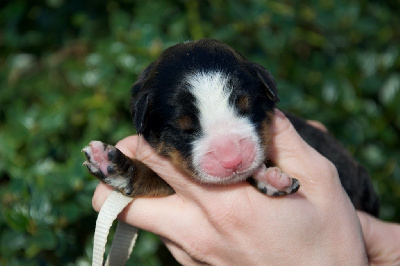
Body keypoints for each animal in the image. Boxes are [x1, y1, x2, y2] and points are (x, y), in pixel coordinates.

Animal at [82, 39, 378, 216]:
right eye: (184, 128)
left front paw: (270, 179)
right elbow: (155, 177)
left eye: (246, 107)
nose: (232, 160)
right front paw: (116, 166)